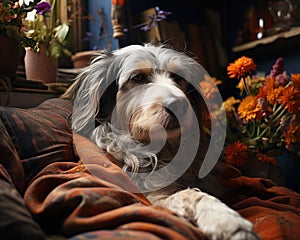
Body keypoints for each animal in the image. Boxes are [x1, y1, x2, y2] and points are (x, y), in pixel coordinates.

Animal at [62, 44, 258, 239]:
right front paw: (227, 222)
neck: (166, 150)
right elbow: (192, 195)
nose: (178, 104)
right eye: (137, 77)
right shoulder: (153, 198)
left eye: (178, 77)